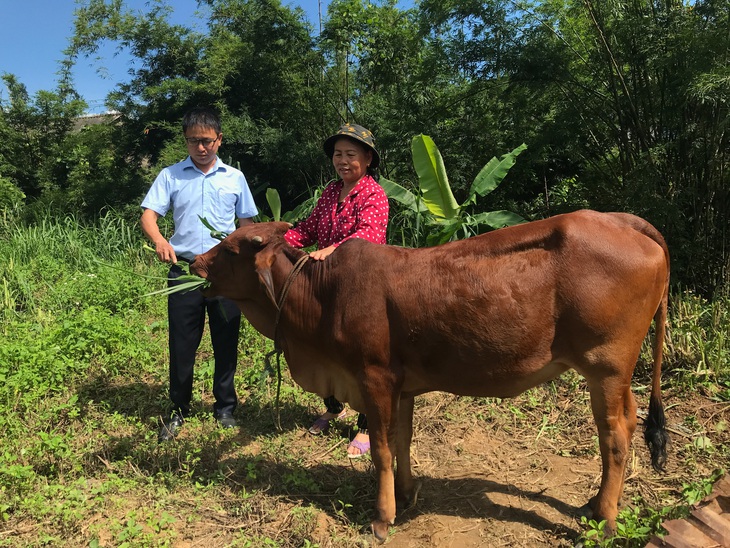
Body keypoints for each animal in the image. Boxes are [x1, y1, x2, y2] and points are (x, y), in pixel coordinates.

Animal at [191, 210, 668, 544]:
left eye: (230, 248)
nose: (194, 262)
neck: (322, 294)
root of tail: (621, 220)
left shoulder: (374, 378)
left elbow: (381, 449)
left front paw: (382, 518)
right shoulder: (401, 386)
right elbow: (401, 441)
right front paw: (406, 493)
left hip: (605, 366)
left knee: (614, 436)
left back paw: (605, 521)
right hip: (616, 374)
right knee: (628, 423)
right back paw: (595, 504)